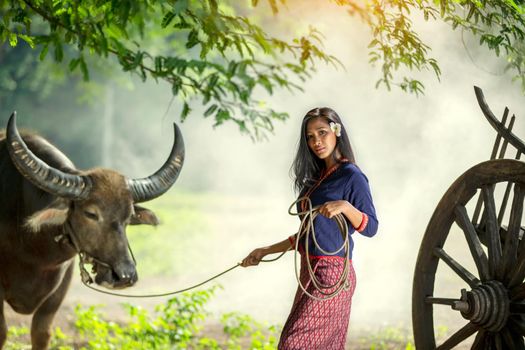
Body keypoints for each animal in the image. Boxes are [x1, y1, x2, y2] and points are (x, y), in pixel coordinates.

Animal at [0, 113, 184, 348]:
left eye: (128, 217)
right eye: (90, 214)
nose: (124, 275)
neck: (33, 249)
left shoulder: (60, 288)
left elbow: (42, 332)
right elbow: (2, 332)